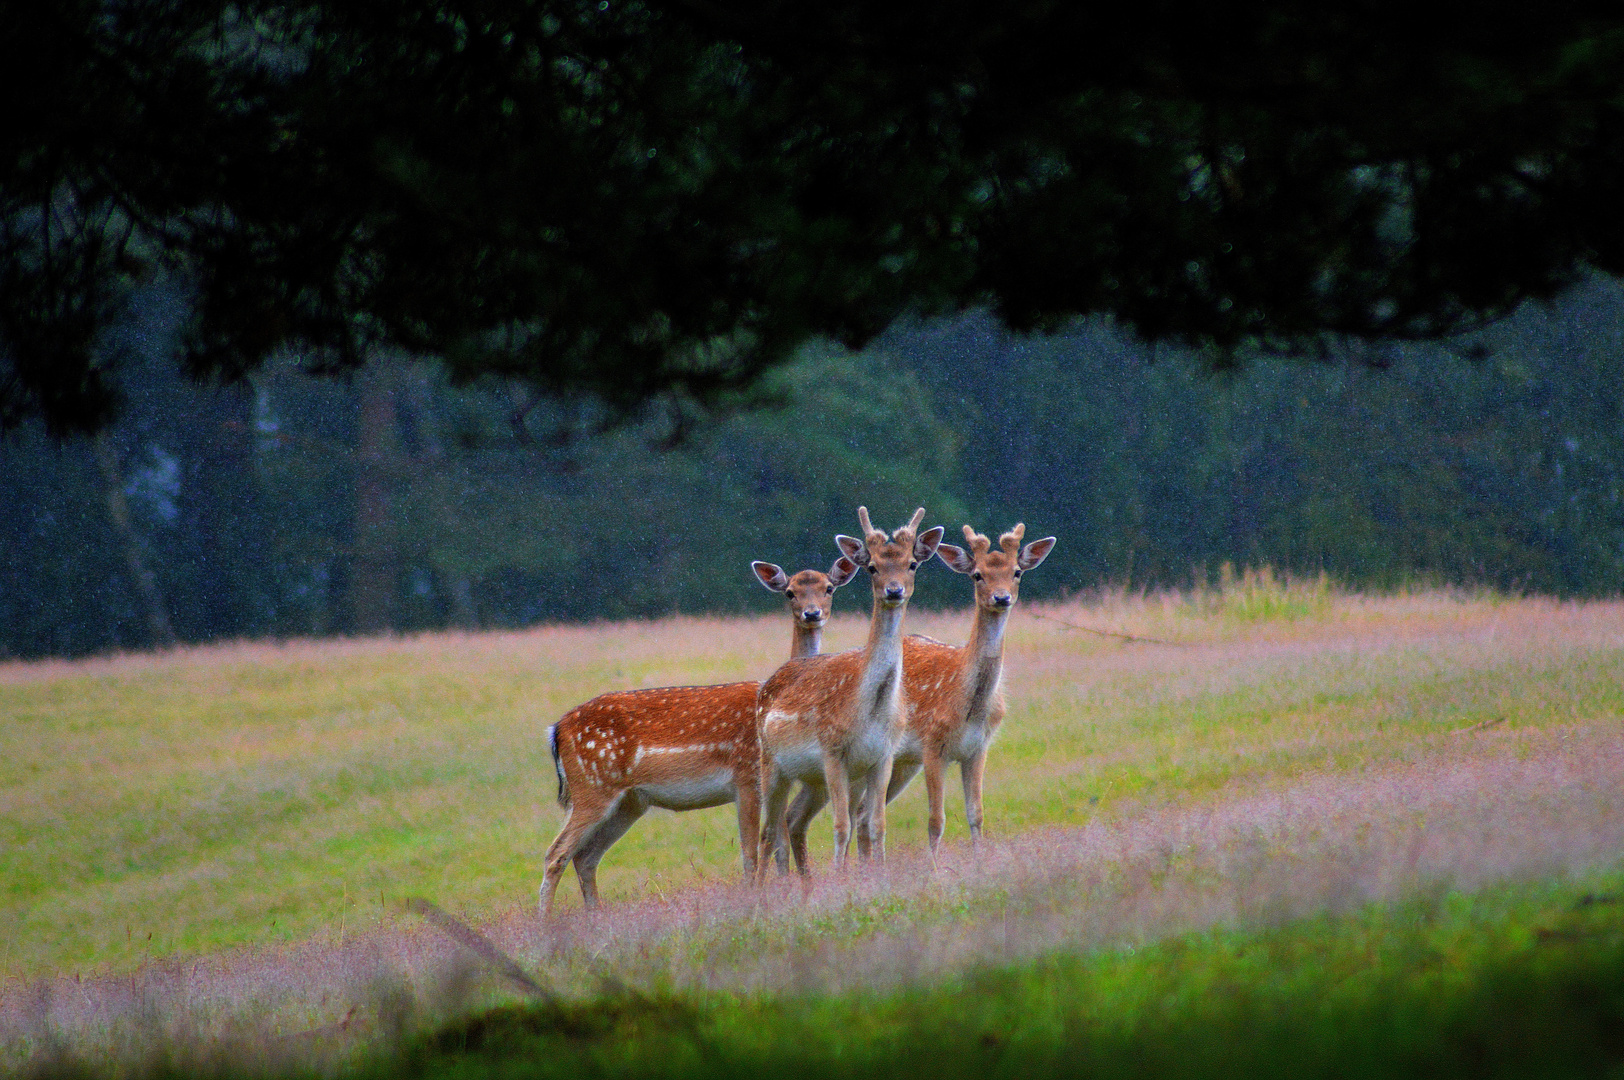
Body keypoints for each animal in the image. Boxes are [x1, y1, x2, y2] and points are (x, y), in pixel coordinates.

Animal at [535, 552, 863, 915]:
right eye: (790, 592)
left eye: (829, 588)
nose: (812, 614)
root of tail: (557, 729)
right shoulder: (747, 776)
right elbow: (750, 851)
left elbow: (777, 842)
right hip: (591, 788)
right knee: (556, 853)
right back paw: (546, 922)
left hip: (629, 801)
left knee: (586, 856)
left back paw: (594, 916)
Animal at [753, 506, 948, 876]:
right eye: (872, 566)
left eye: (911, 564)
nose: (894, 590)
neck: (870, 710)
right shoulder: (832, 752)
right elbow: (841, 826)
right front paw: (840, 878)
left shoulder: (882, 756)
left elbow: (876, 824)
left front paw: (876, 874)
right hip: (771, 764)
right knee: (768, 830)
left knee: (786, 823)